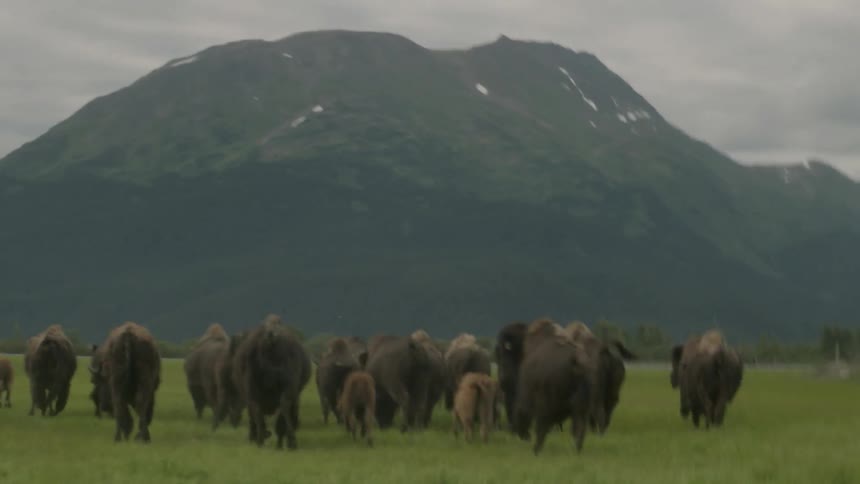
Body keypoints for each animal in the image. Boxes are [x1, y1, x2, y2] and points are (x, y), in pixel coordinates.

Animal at [232, 314, 311, 449]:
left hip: (254, 391)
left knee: (258, 410)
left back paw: (261, 440)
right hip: (286, 389)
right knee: (282, 409)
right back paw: (290, 442)